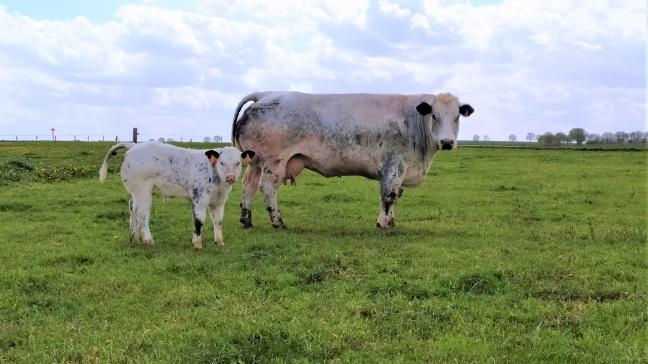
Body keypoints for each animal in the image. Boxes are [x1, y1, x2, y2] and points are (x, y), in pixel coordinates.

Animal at [100, 142, 254, 250]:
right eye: (222, 162)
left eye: (238, 162)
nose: (230, 177)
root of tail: (133, 146)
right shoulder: (199, 199)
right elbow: (199, 221)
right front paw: (197, 244)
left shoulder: (219, 201)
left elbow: (218, 220)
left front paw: (219, 242)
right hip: (143, 190)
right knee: (142, 212)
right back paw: (148, 240)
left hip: (136, 192)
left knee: (132, 207)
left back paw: (134, 238)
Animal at [230, 91, 474, 228]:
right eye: (434, 115)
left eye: (456, 117)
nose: (447, 142)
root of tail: (265, 94)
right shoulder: (393, 165)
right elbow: (389, 196)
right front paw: (383, 223)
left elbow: (396, 197)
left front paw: (392, 222)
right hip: (274, 162)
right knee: (267, 188)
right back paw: (277, 221)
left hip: (256, 161)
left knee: (248, 186)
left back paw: (246, 220)